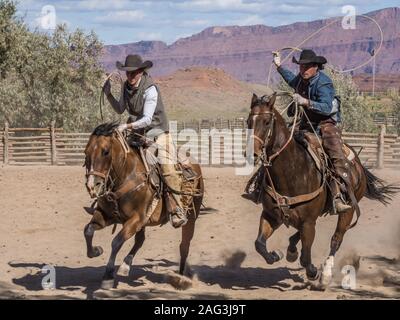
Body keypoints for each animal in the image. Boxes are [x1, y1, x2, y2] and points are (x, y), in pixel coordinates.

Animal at [83, 122, 203, 288]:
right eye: (86, 151)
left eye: (105, 151)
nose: (92, 186)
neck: (126, 175)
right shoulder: (107, 216)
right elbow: (88, 230)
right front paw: (96, 251)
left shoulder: (136, 219)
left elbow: (116, 242)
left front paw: (108, 275)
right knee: (140, 240)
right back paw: (126, 265)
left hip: (191, 217)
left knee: (184, 245)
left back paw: (181, 278)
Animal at [247, 92, 396, 288]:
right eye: (248, 121)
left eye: (266, 122)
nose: (252, 153)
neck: (293, 169)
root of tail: (358, 164)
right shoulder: (271, 215)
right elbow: (259, 244)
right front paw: (275, 255)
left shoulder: (308, 222)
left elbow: (306, 257)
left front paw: (313, 272)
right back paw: (291, 250)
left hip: (348, 210)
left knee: (336, 239)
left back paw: (325, 275)